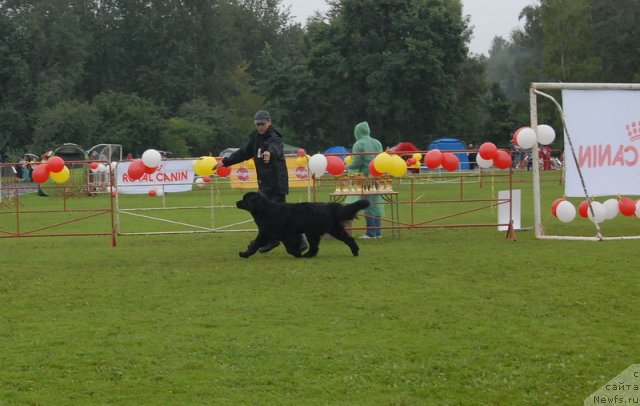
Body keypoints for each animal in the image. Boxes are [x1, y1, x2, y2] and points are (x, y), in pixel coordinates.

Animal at [236, 192, 370, 258]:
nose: (237, 202)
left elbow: (256, 244)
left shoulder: (268, 233)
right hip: (333, 230)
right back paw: (355, 251)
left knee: (315, 246)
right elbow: (289, 247)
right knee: (348, 239)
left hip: (314, 232)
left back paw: (308, 255)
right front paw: (298, 253)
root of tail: (330, 206)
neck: (264, 210)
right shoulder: (285, 235)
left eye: (245, 199)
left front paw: (244, 254)